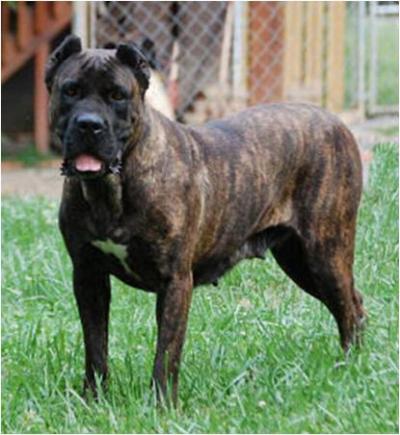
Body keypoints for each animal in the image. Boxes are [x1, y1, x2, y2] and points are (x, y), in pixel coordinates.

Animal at [46, 35, 365, 404]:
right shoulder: (88, 276)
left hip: (324, 252)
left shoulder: (174, 281)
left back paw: (350, 368)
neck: (111, 190)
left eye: (117, 95)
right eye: (70, 90)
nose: (89, 123)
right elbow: (96, 346)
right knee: (353, 302)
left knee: (348, 307)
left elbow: (167, 352)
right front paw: (94, 400)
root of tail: (335, 121)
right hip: (298, 259)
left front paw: (162, 405)